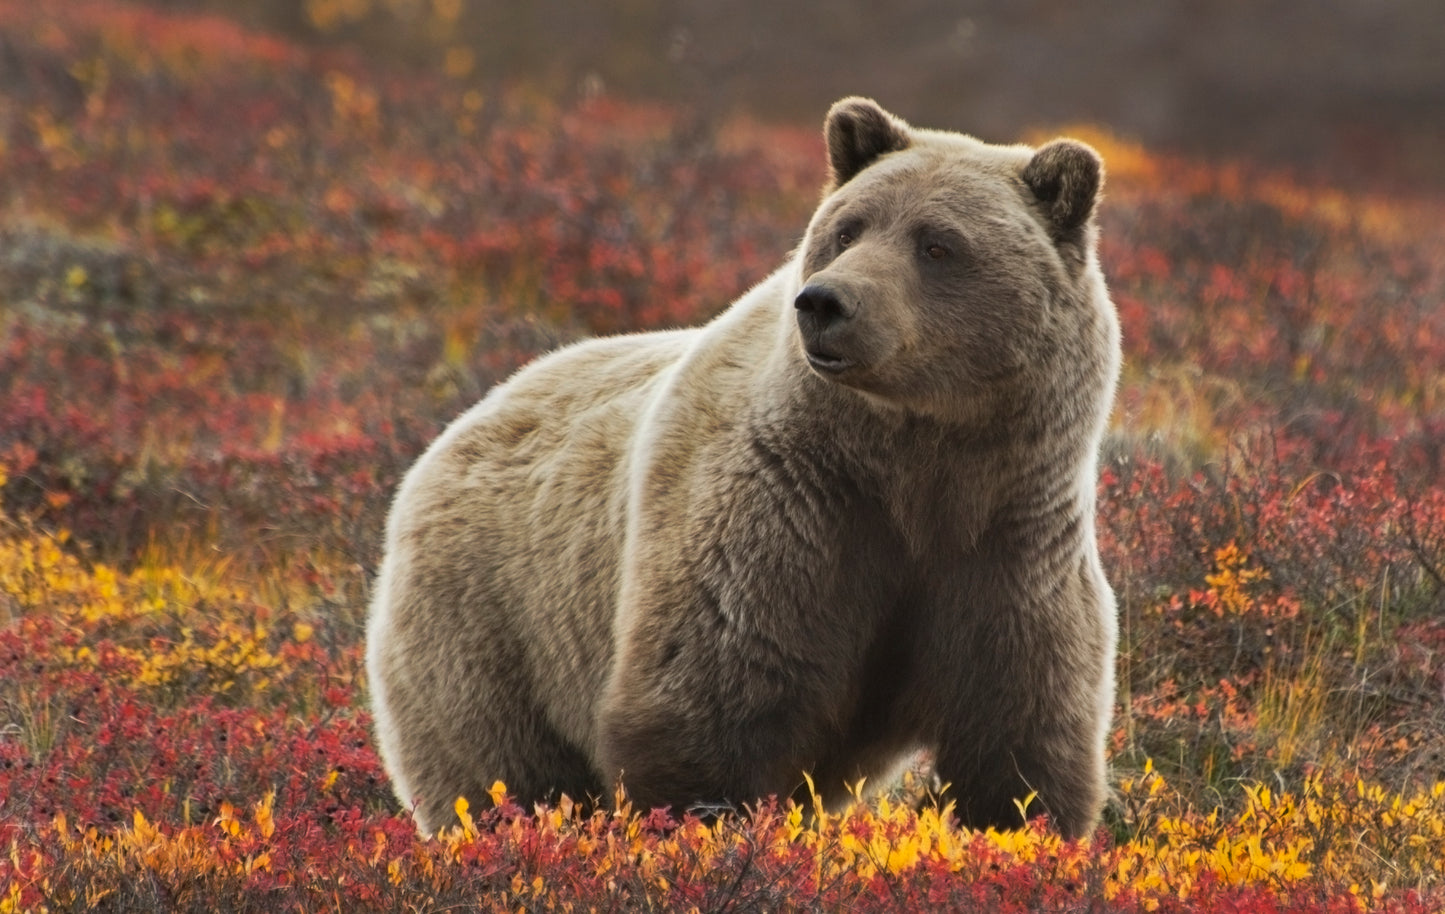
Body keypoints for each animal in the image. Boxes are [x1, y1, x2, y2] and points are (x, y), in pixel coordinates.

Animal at [365, 97, 1121, 840]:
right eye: (847, 229)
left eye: (937, 244)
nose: (824, 301)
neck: (915, 461)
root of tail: (462, 422)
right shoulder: (788, 512)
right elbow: (708, 702)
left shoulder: (1007, 542)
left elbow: (1018, 736)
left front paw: (1017, 825)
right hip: (491, 621)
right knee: (500, 771)